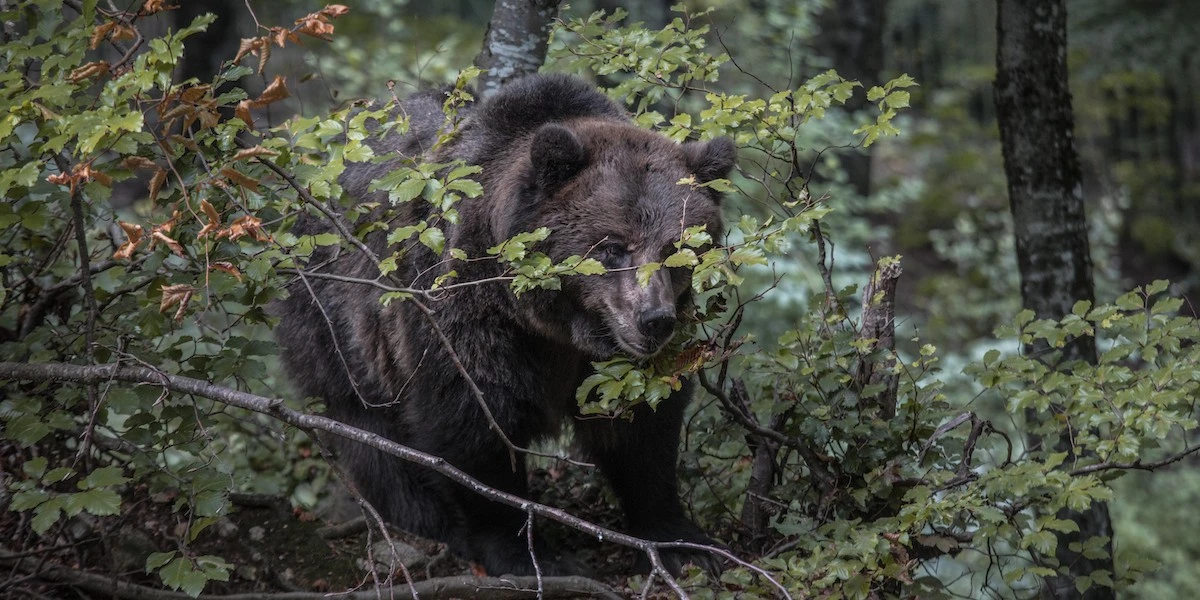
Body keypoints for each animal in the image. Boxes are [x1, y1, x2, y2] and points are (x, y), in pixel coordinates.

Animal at [274, 75, 734, 576]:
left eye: (679, 249)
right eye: (613, 247)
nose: (654, 319)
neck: (556, 327)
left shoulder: (606, 359)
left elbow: (644, 428)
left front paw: (683, 541)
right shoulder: (467, 310)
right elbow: (473, 419)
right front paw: (527, 553)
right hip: (333, 314)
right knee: (366, 423)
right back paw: (424, 516)